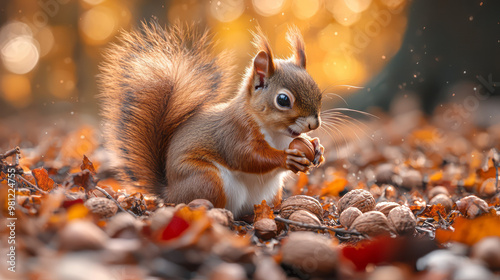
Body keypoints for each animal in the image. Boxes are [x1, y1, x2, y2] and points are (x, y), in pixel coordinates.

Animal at [100, 21, 326, 217]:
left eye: (318, 93)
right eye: (283, 100)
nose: (314, 124)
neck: (276, 134)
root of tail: (169, 194)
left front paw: (317, 147)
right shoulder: (236, 131)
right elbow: (246, 156)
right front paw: (287, 158)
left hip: (270, 193)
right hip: (207, 180)